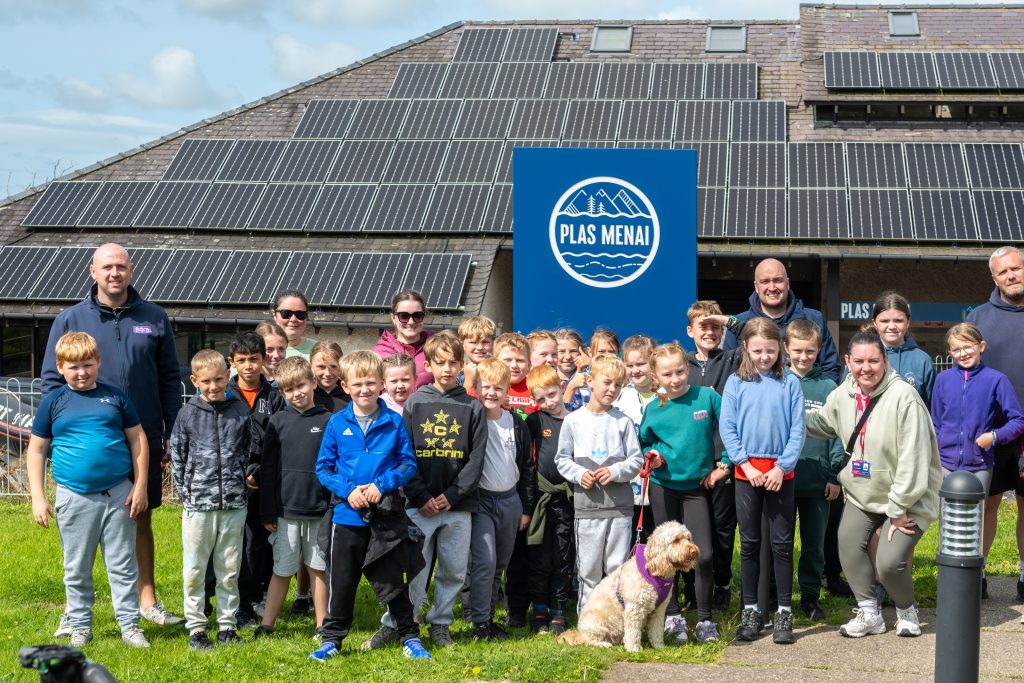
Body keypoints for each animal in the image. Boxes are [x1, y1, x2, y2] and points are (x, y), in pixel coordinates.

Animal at [557, 524, 700, 651]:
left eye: (688, 538)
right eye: (676, 540)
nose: (694, 551)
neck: (653, 571)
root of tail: (579, 632)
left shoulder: (658, 611)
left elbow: (656, 631)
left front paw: (659, 647)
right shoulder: (634, 609)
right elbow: (633, 633)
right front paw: (633, 649)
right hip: (597, 624)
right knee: (588, 641)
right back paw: (603, 644)